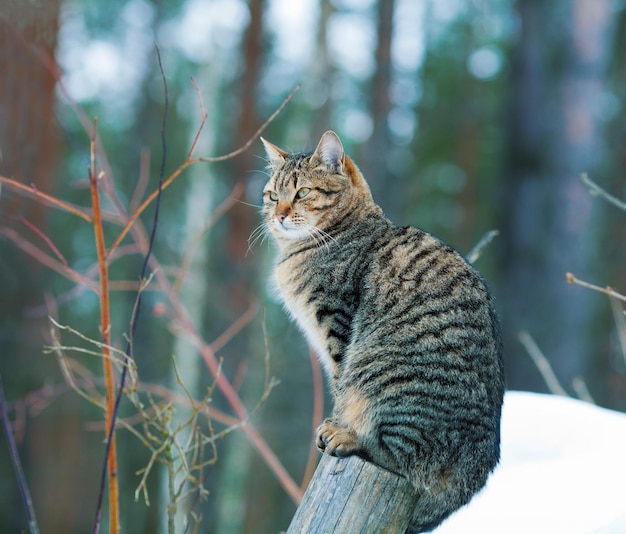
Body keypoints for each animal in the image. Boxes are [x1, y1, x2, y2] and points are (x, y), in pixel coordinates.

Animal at [258, 131, 502, 534]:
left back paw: (349, 438)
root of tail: (478, 473)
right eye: (272, 195)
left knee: (401, 457)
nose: (278, 216)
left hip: (384, 373)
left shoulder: (337, 323)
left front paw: (336, 424)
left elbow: (340, 388)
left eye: (302, 192)